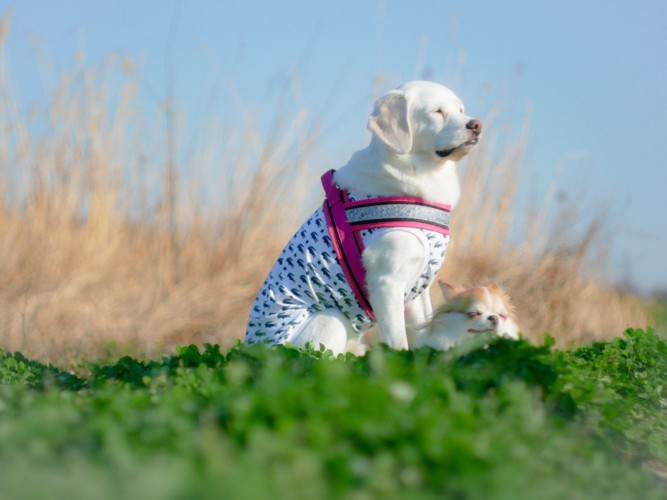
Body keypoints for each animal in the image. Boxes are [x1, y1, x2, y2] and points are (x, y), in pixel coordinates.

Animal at [245, 81, 480, 356]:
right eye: (437, 111)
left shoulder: (419, 289)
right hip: (332, 318)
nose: (476, 124)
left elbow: (425, 331)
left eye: (460, 109)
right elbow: (398, 343)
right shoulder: (386, 282)